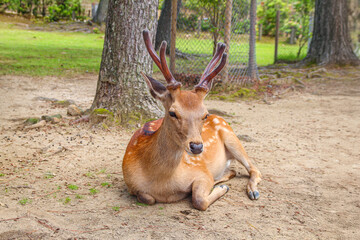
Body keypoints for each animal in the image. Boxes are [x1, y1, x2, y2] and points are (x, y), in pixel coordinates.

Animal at [121, 29, 262, 210]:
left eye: (205, 114)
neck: (163, 184)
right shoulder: (132, 185)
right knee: (234, 171)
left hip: (232, 137)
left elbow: (200, 200)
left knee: (254, 169)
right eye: (172, 113)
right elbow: (146, 197)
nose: (197, 146)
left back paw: (252, 191)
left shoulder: (201, 171)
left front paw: (221, 189)